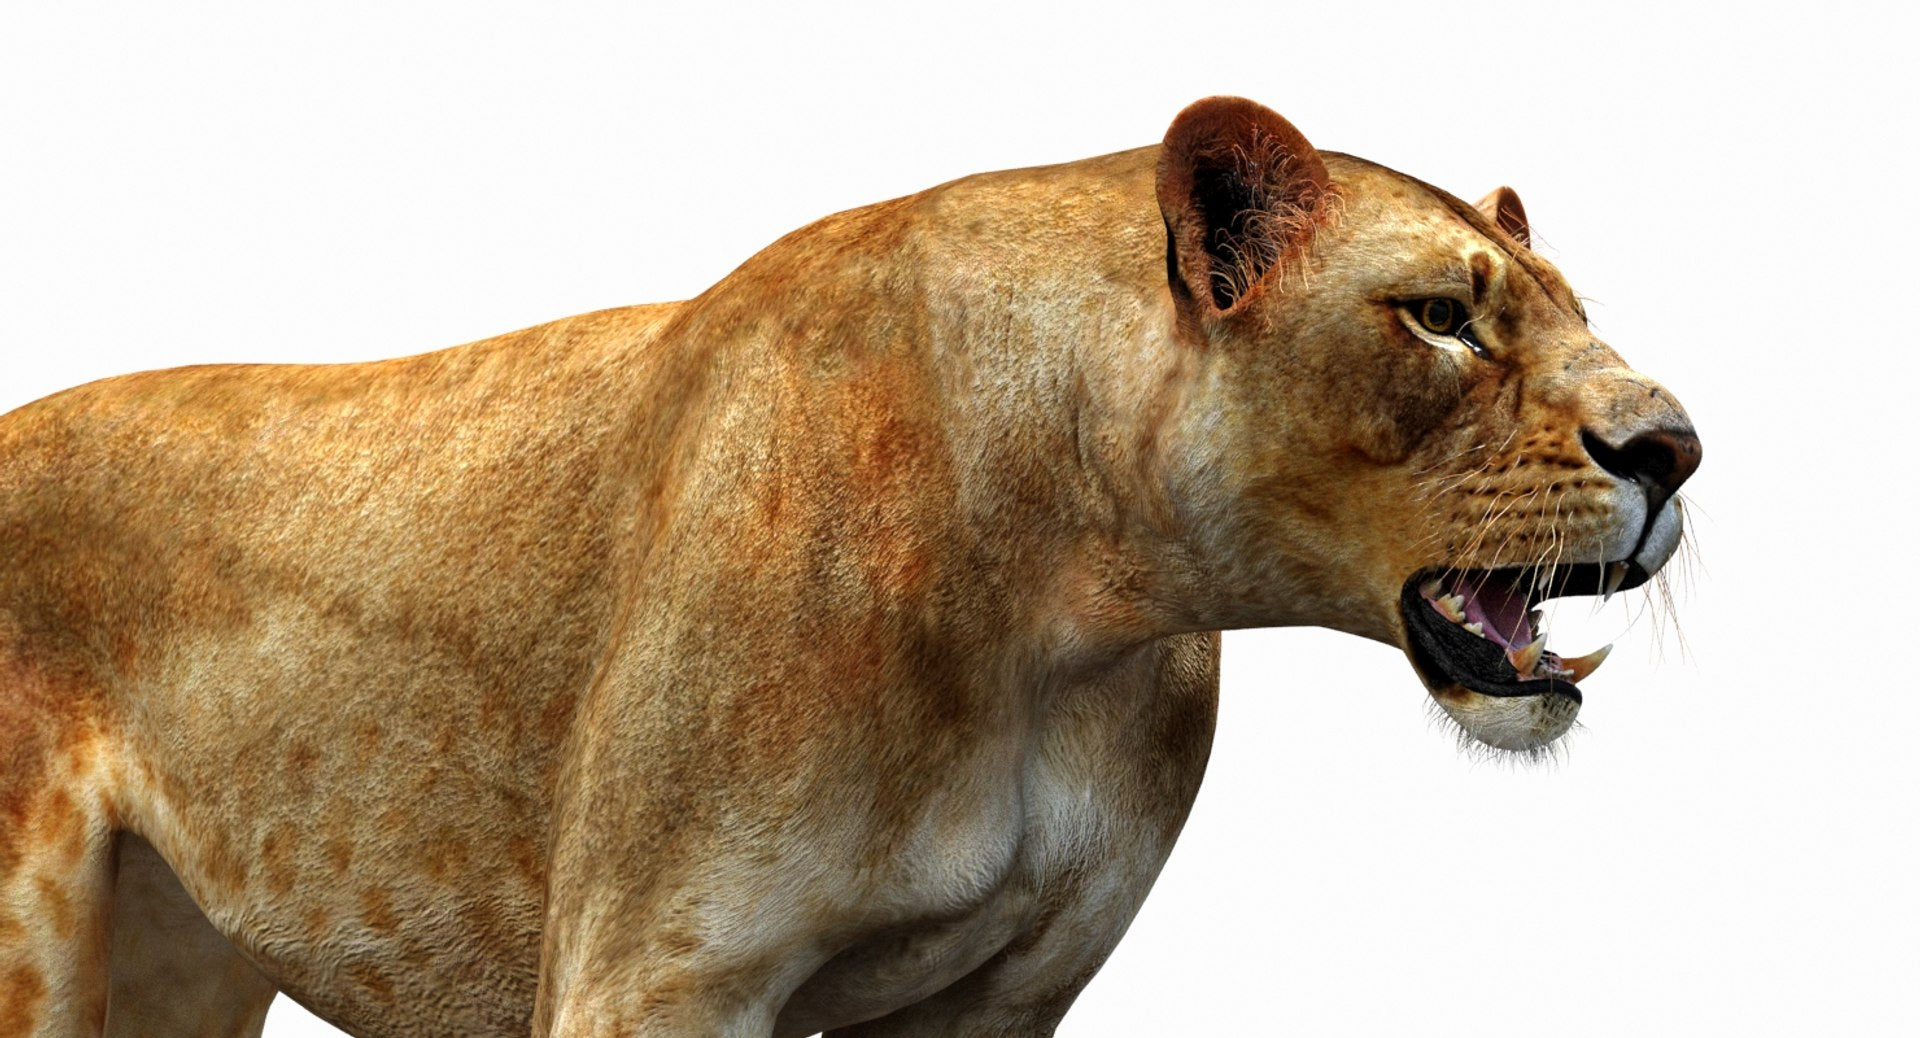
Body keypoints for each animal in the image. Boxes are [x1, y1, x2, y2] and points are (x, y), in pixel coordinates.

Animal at [0, 96, 1697, 1037]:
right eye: (1444, 319)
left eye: (1573, 311)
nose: (1676, 449)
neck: (1072, 596)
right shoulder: (653, 976)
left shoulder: (996, 1005)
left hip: (187, 956)